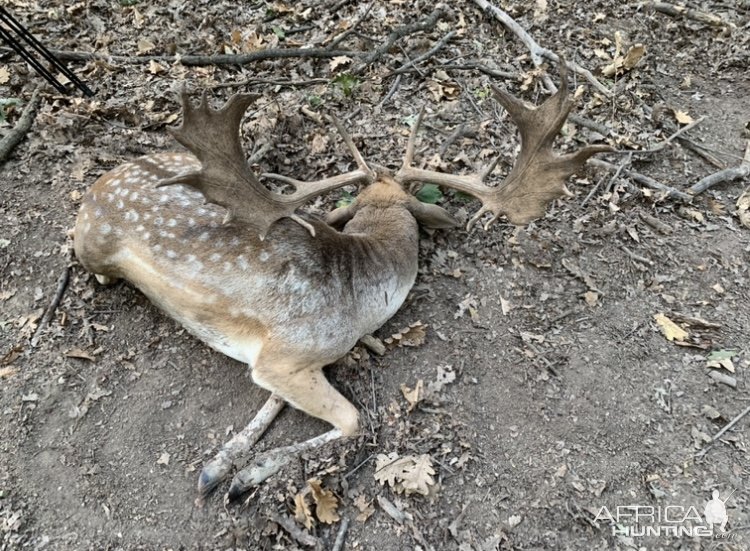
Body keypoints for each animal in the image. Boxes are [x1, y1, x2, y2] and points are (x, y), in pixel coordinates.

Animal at [72, 62, 612, 502]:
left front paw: (222, 465)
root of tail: (97, 184)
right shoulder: (287, 353)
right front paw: (247, 474)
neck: (362, 300)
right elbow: (353, 420)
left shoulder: (284, 355)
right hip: (92, 247)